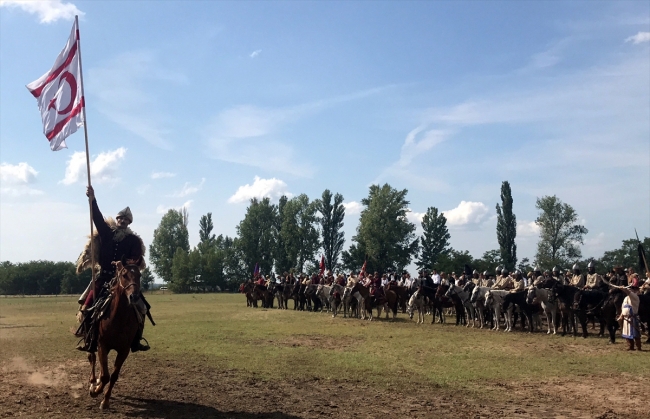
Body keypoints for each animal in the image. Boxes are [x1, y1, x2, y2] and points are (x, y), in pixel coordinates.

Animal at [87, 262, 140, 410]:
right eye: (124, 275)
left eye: (139, 275)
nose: (134, 297)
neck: (119, 318)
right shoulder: (102, 345)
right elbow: (105, 376)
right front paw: (96, 391)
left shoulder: (124, 350)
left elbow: (113, 376)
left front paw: (105, 400)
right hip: (93, 343)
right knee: (92, 358)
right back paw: (93, 383)